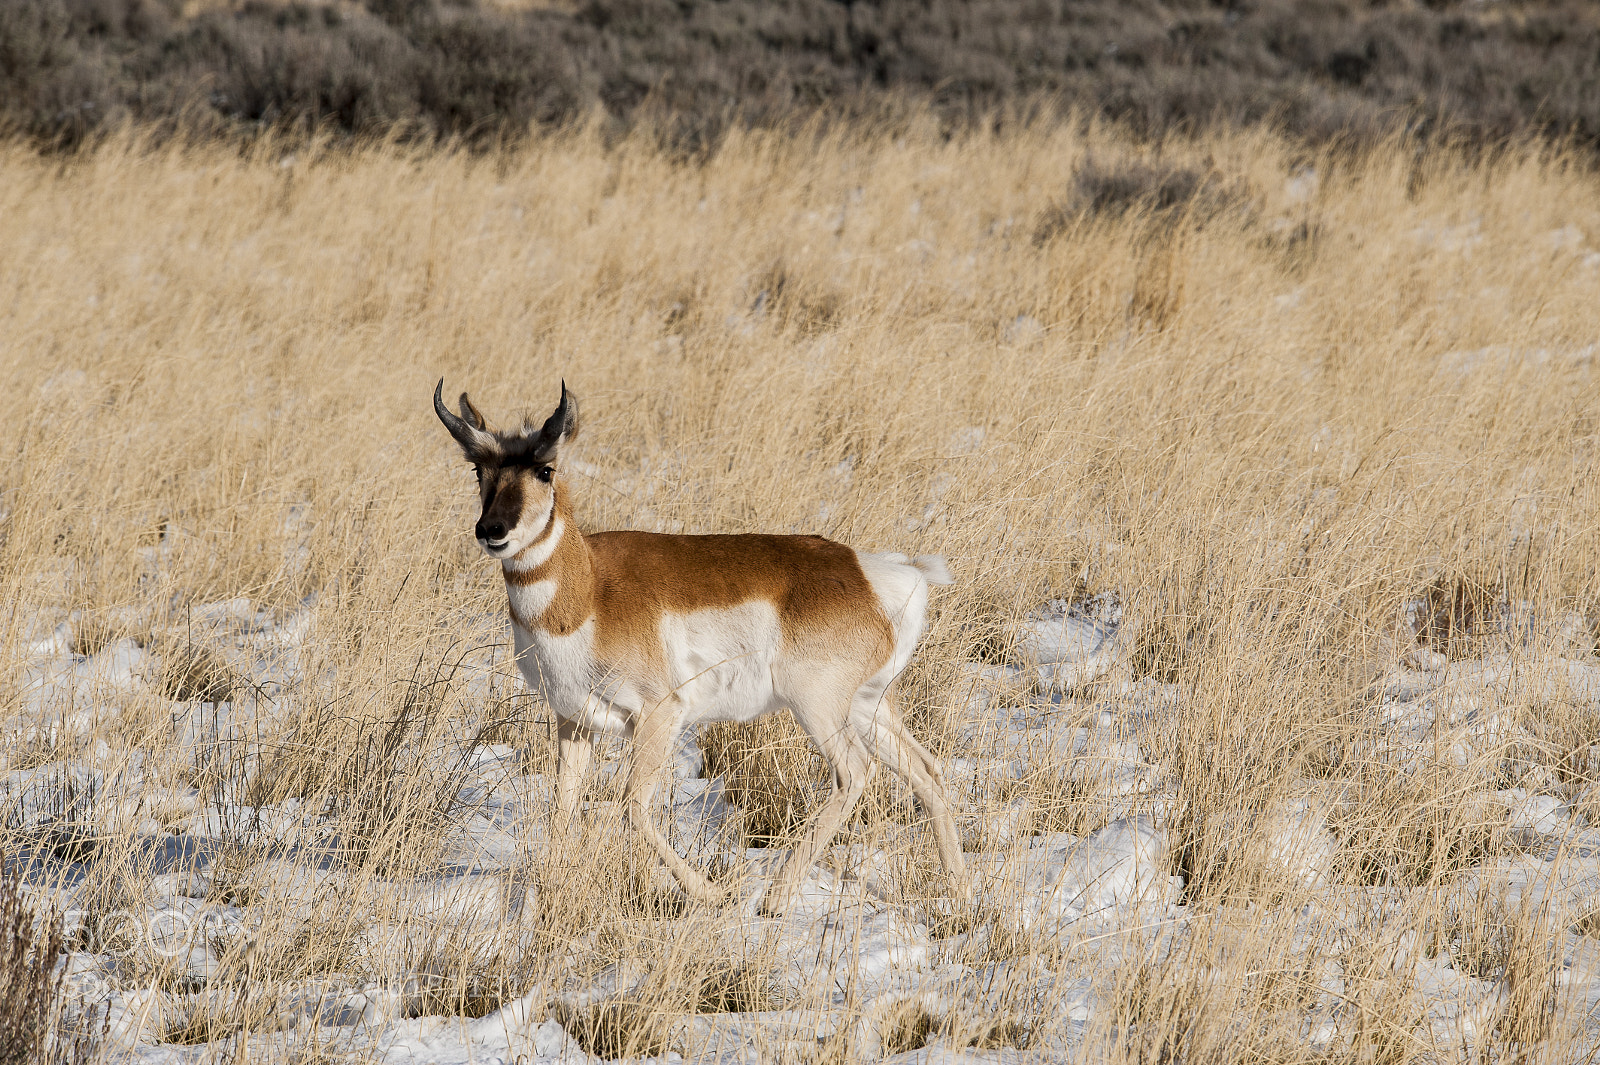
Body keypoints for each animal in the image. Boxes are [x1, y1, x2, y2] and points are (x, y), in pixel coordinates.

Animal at [434, 381, 966, 915]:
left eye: (546, 469)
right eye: (478, 470)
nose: (492, 531)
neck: (588, 587)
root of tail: (875, 572)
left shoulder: (658, 714)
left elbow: (633, 806)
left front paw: (710, 892)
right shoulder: (574, 721)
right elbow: (563, 807)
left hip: (818, 707)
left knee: (854, 773)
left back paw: (775, 899)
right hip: (868, 706)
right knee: (927, 769)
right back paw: (958, 888)